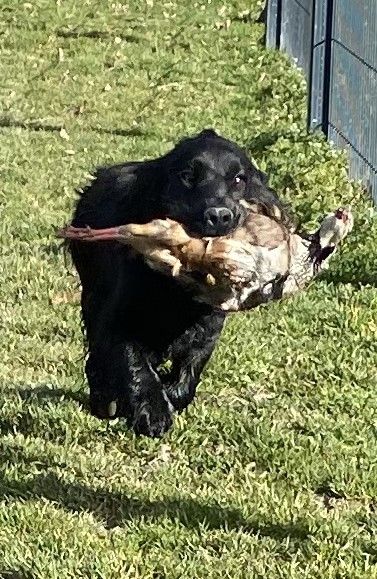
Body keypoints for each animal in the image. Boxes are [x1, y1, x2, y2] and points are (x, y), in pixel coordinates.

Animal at [68, 129, 284, 438]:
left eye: (239, 179)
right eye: (187, 175)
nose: (219, 216)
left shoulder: (209, 324)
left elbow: (191, 368)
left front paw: (170, 394)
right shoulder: (118, 319)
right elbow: (134, 365)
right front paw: (152, 413)